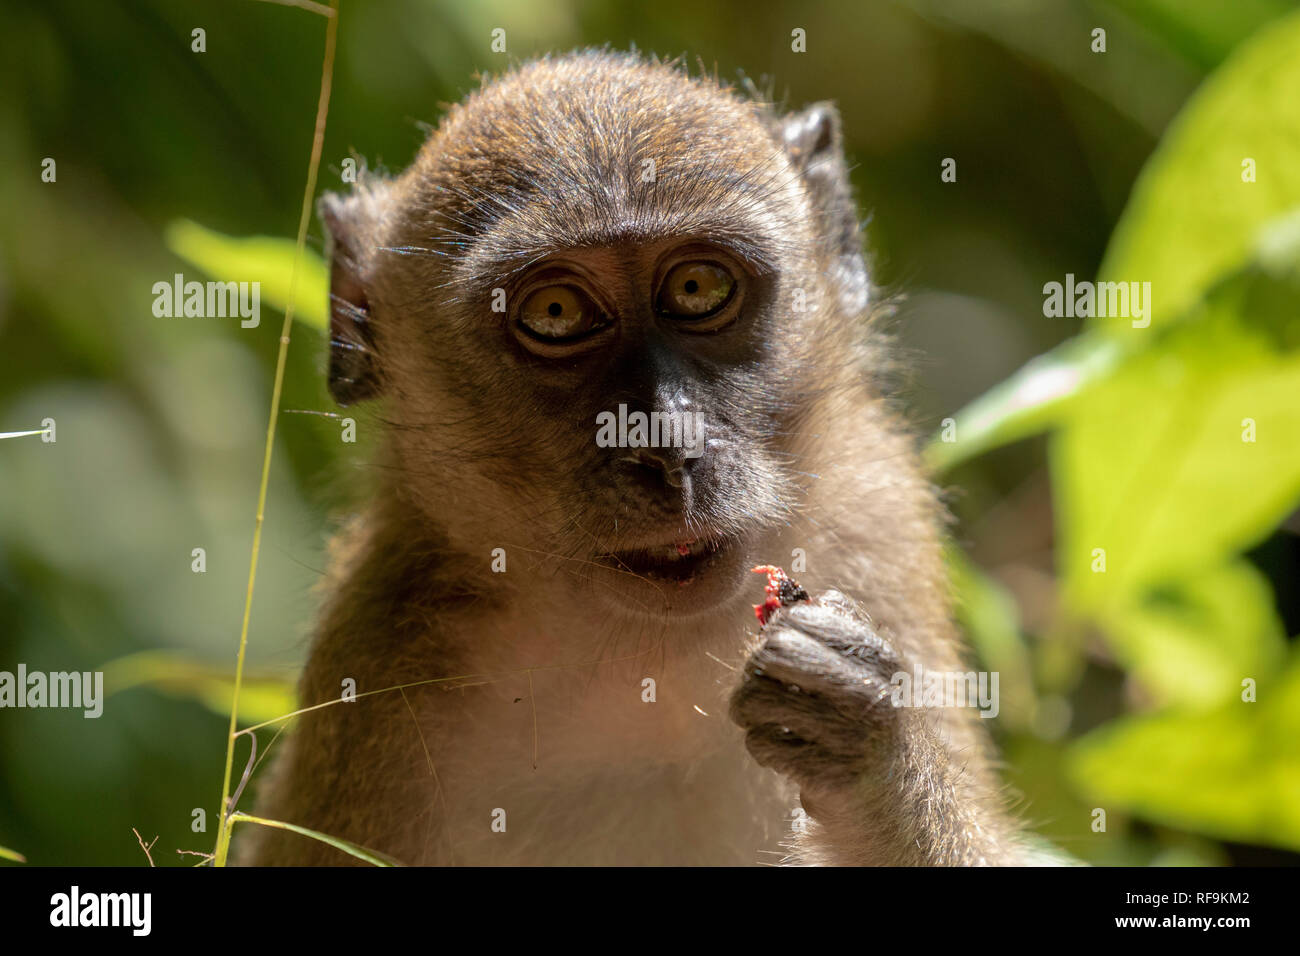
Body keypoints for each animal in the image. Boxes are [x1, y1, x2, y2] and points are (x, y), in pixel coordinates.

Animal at [238, 50, 1034, 866]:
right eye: (556, 313)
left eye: (697, 286)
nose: (668, 446)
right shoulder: (379, 662)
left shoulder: (876, 521)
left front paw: (872, 749)